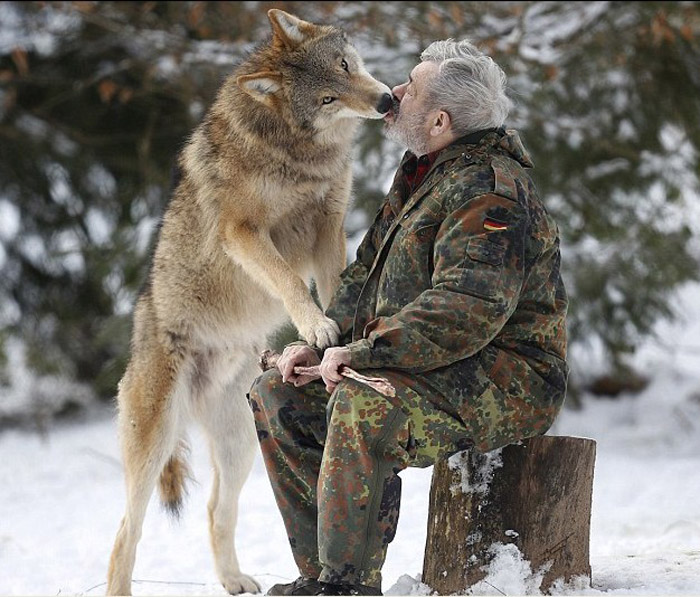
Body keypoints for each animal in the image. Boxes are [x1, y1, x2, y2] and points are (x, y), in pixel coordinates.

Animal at [106, 10, 392, 596]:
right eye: (327, 97)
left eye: (346, 66)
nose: (386, 100)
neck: (296, 152)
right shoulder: (243, 233)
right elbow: (288, 280)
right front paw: (316, 327)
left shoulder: (329, 225)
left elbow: (335, 283)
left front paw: (339, 332)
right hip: (153, 445)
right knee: (127, 532)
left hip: (239, 445)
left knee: (216, 510)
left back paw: (235, 580)